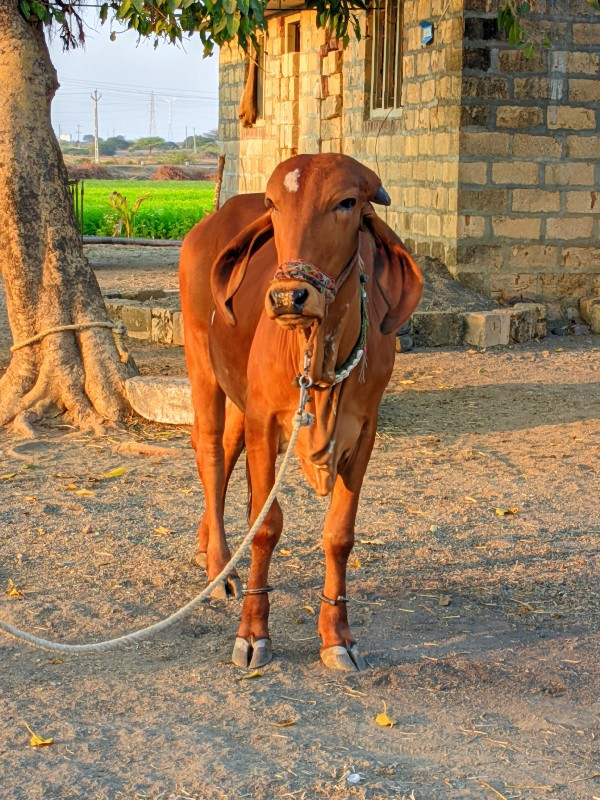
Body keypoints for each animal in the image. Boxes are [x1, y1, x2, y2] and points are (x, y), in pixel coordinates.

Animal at [178, 153, 422, 672]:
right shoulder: (266, 420)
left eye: (347, 202)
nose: (288, 296)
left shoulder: (364, 431)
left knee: (227, 449)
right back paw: (220, 568)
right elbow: (267, 525)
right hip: (201, 365)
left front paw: (336, 636)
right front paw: (253, 633)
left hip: (238, 394)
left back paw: (210, 546)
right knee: (209, 450)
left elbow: (340, 534)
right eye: (273, 204)